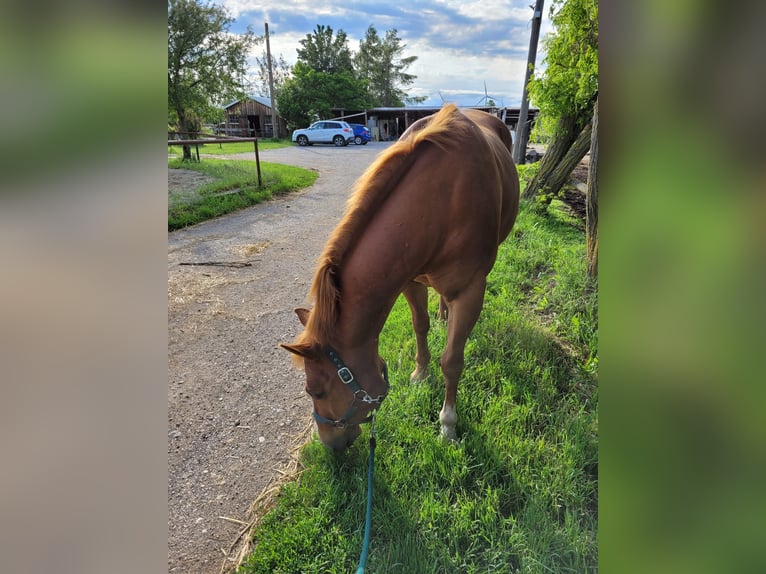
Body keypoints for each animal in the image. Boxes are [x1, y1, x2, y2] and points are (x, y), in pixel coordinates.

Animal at [282, 106, 520, 452]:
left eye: (316, 391)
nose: (329, 445)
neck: (441, 199)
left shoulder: (471, 291)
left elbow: (452, 361)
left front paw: (448, 424)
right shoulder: (411, 281)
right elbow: (420, 326)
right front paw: (420, 372)